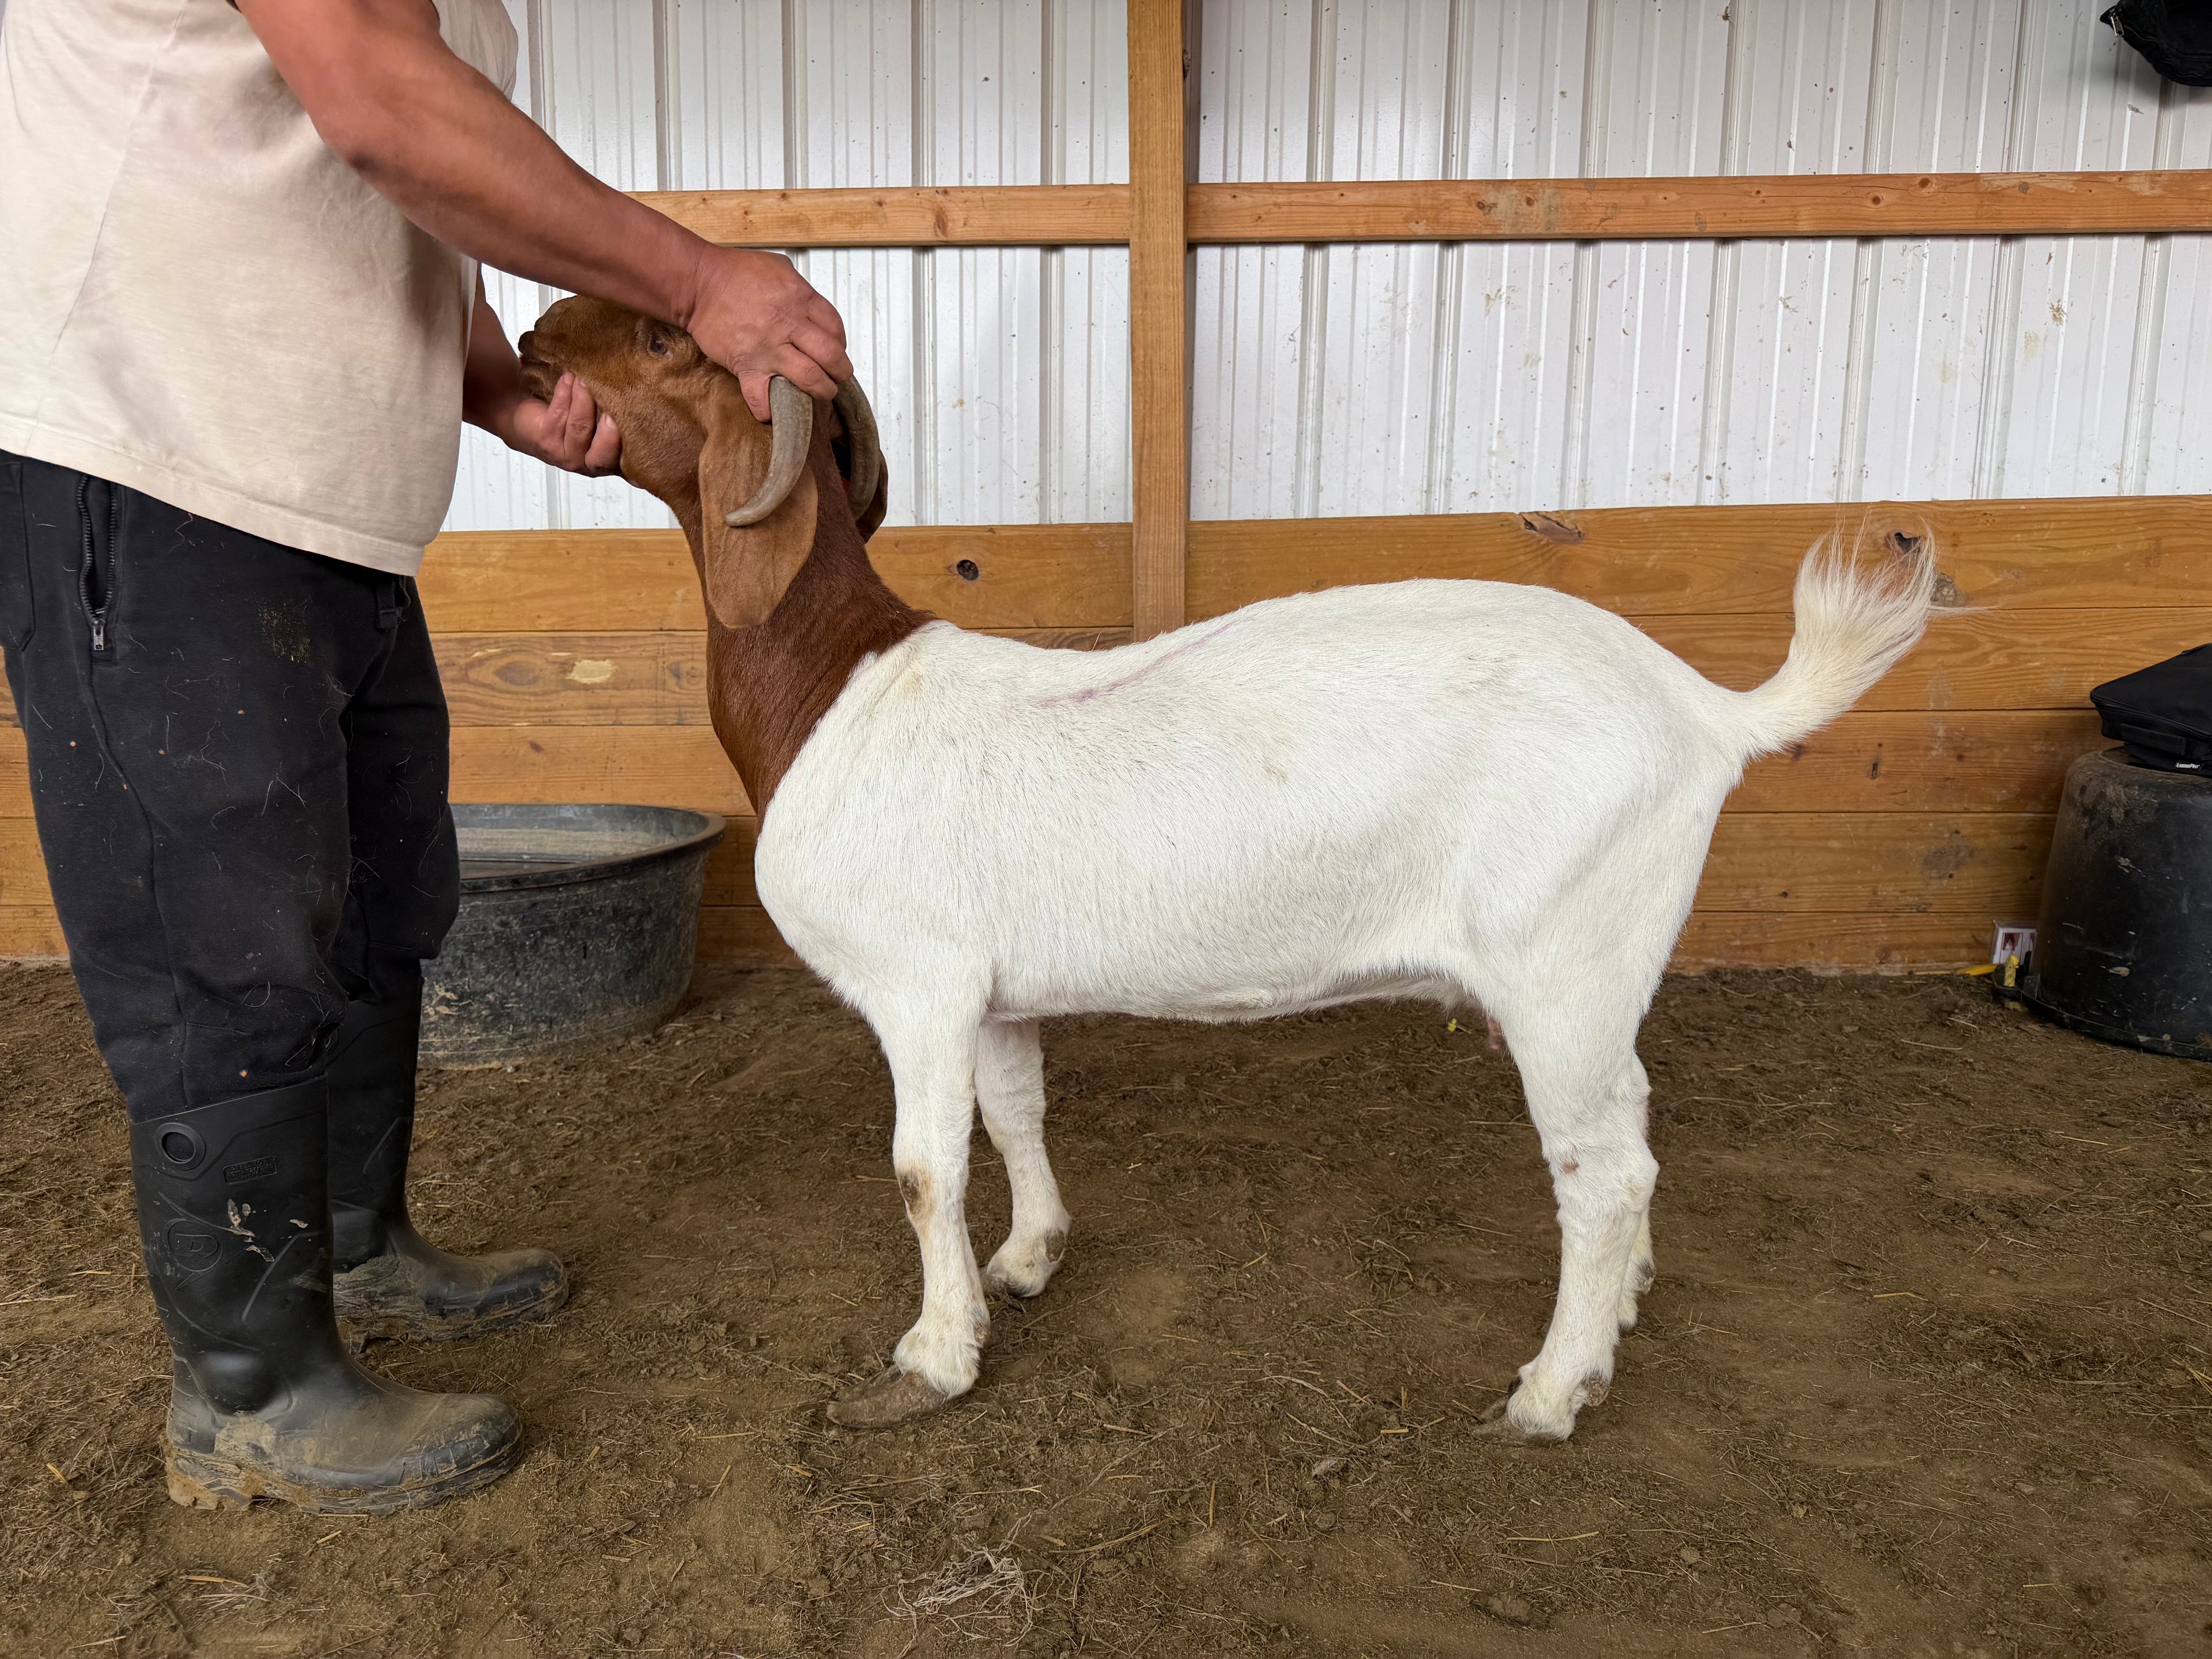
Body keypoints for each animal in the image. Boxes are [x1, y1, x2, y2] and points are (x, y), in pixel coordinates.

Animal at [516, 299, 1937, 1438]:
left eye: (663, 338)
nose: (531, 331)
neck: (835, 690)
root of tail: (1706, 711)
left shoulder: (916, 986)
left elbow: (924, 1169)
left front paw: (931, 1360)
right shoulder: (990, 990)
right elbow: (1016, 1112)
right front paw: (1028, 1261)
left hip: (1560, 961)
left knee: (1604, 1167)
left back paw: (1550, 1391)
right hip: (1607, 962)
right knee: (1634, 1120)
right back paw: (1625, 1310)